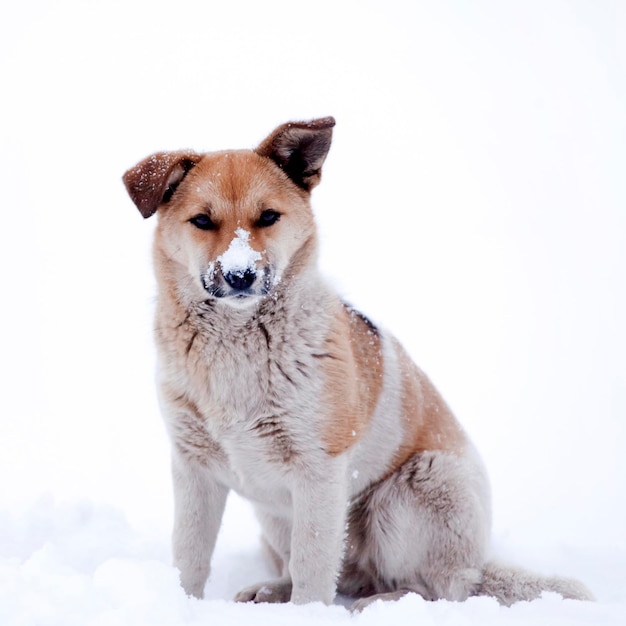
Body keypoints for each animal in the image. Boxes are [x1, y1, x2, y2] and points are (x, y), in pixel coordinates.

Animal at [122, 117, 588, 608]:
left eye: (267, 217)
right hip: (275, 518)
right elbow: (190, 556)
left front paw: (306, 615)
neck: (237, 346)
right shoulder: (193, 467)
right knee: (334, 574)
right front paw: (179, 604)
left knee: (442, 587)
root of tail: (480, 563)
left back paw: (379, 603)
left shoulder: (319, 471)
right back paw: (272, 590)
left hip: (413, 489)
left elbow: (312, 569)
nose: (240, 275)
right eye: (202, 221)